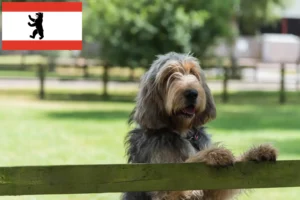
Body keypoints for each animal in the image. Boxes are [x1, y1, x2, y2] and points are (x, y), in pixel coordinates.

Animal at [122, 52, 276, 200]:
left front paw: (257, 152)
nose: (192, 93)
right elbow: (188, 165)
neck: (182, 131)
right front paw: (212, 153)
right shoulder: (163, 184)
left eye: (193, 72)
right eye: (169, 75)